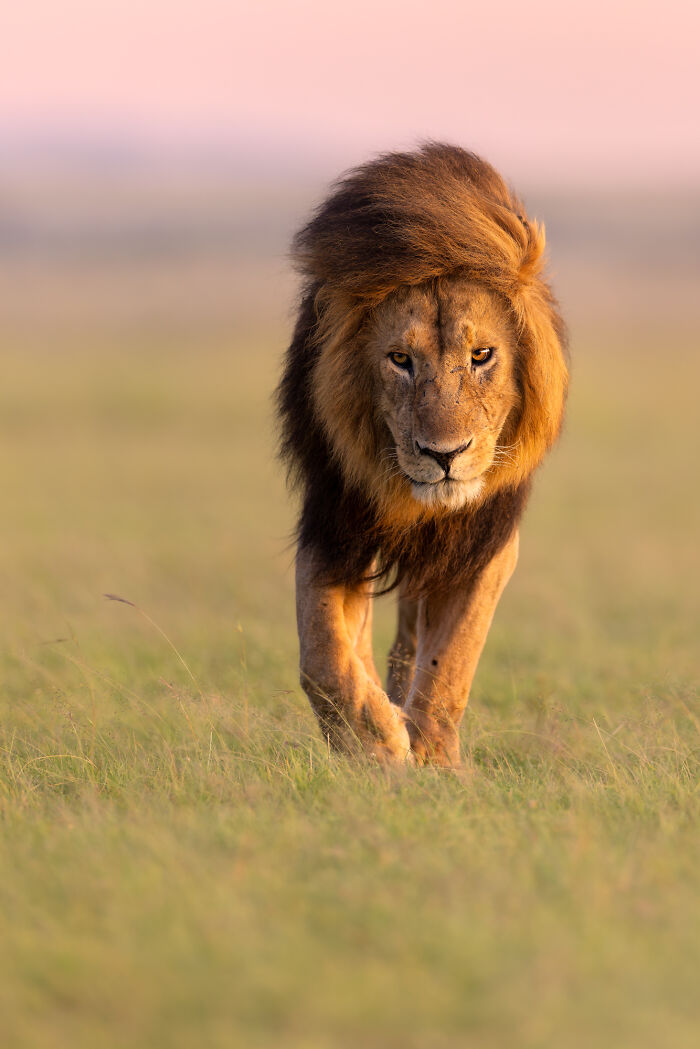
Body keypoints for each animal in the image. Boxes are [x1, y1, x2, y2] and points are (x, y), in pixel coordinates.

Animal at [277, 143, 568, 767]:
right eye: (400, 360)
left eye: (482, 355)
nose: (445, 454)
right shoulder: (335, 521)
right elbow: (323, 658)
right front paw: (376, 744)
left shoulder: (485, 537)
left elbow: (450, 659)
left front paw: (434, 758)